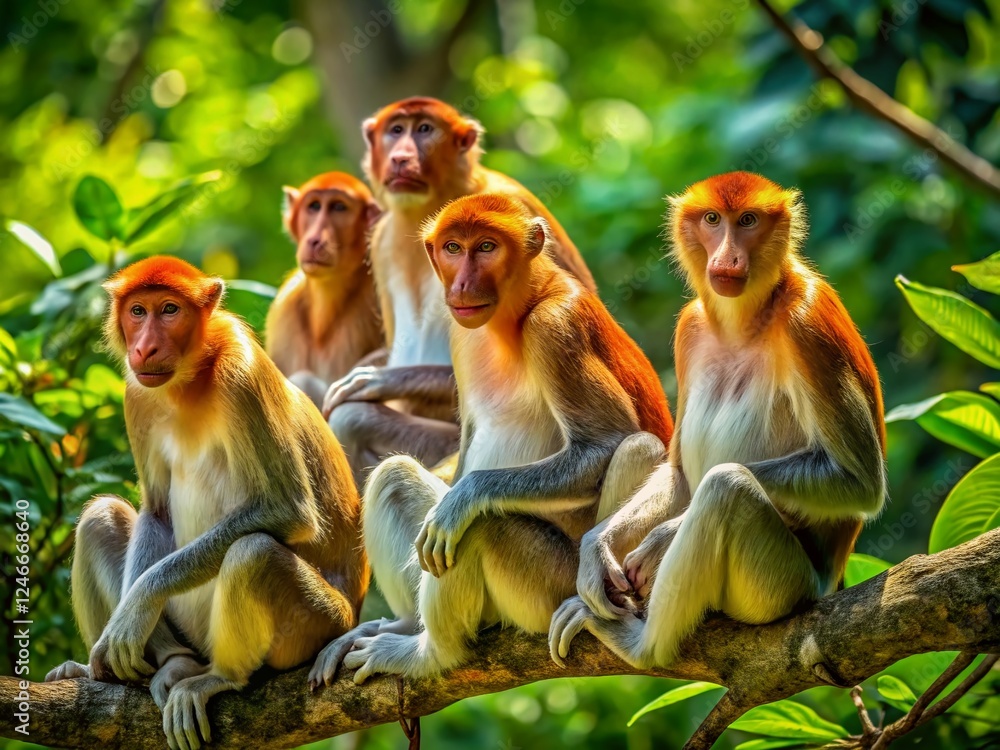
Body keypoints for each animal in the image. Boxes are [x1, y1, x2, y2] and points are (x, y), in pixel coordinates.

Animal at [43, 257, 368, 750]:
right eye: (137, 310)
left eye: (169, 309)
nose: (145, 348)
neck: (189, 382)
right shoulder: (136, 394)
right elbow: (157, 511)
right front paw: (118, 635)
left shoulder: (242, 373)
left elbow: (287, 510)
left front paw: (136, 607)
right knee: (100, 518)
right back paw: (169, 662)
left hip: (321, 623)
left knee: (253, 552)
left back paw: (218, 677)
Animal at [308, 193, 672, 687]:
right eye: (453, 248)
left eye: (486, 246)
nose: (462, 284)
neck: (517, 311)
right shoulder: (461, 336)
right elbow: (467, 437)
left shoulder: (554, 327)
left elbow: (603, 440)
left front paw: (464, 499)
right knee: (395, 475)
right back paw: (405, 625)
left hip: (548, 585)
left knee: (485, 524)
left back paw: (429, 653)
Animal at [325, 97, 598, 485]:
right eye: (396, 130)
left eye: (424, 129)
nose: (401, 157)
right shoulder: (381, 239)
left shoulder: (516, 205)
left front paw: (379, 379)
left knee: (351, 418)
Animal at [549, 172, 887, 669]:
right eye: (712, 219)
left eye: (747, 221)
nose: (727, 256)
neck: (744, 320)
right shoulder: (690, 327)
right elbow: (675, 473)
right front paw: (596, 545)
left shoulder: (807, 323)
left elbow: (859, 483)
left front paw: (663, 540)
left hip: (782, 586)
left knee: (727, 486)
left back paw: (642, 647)